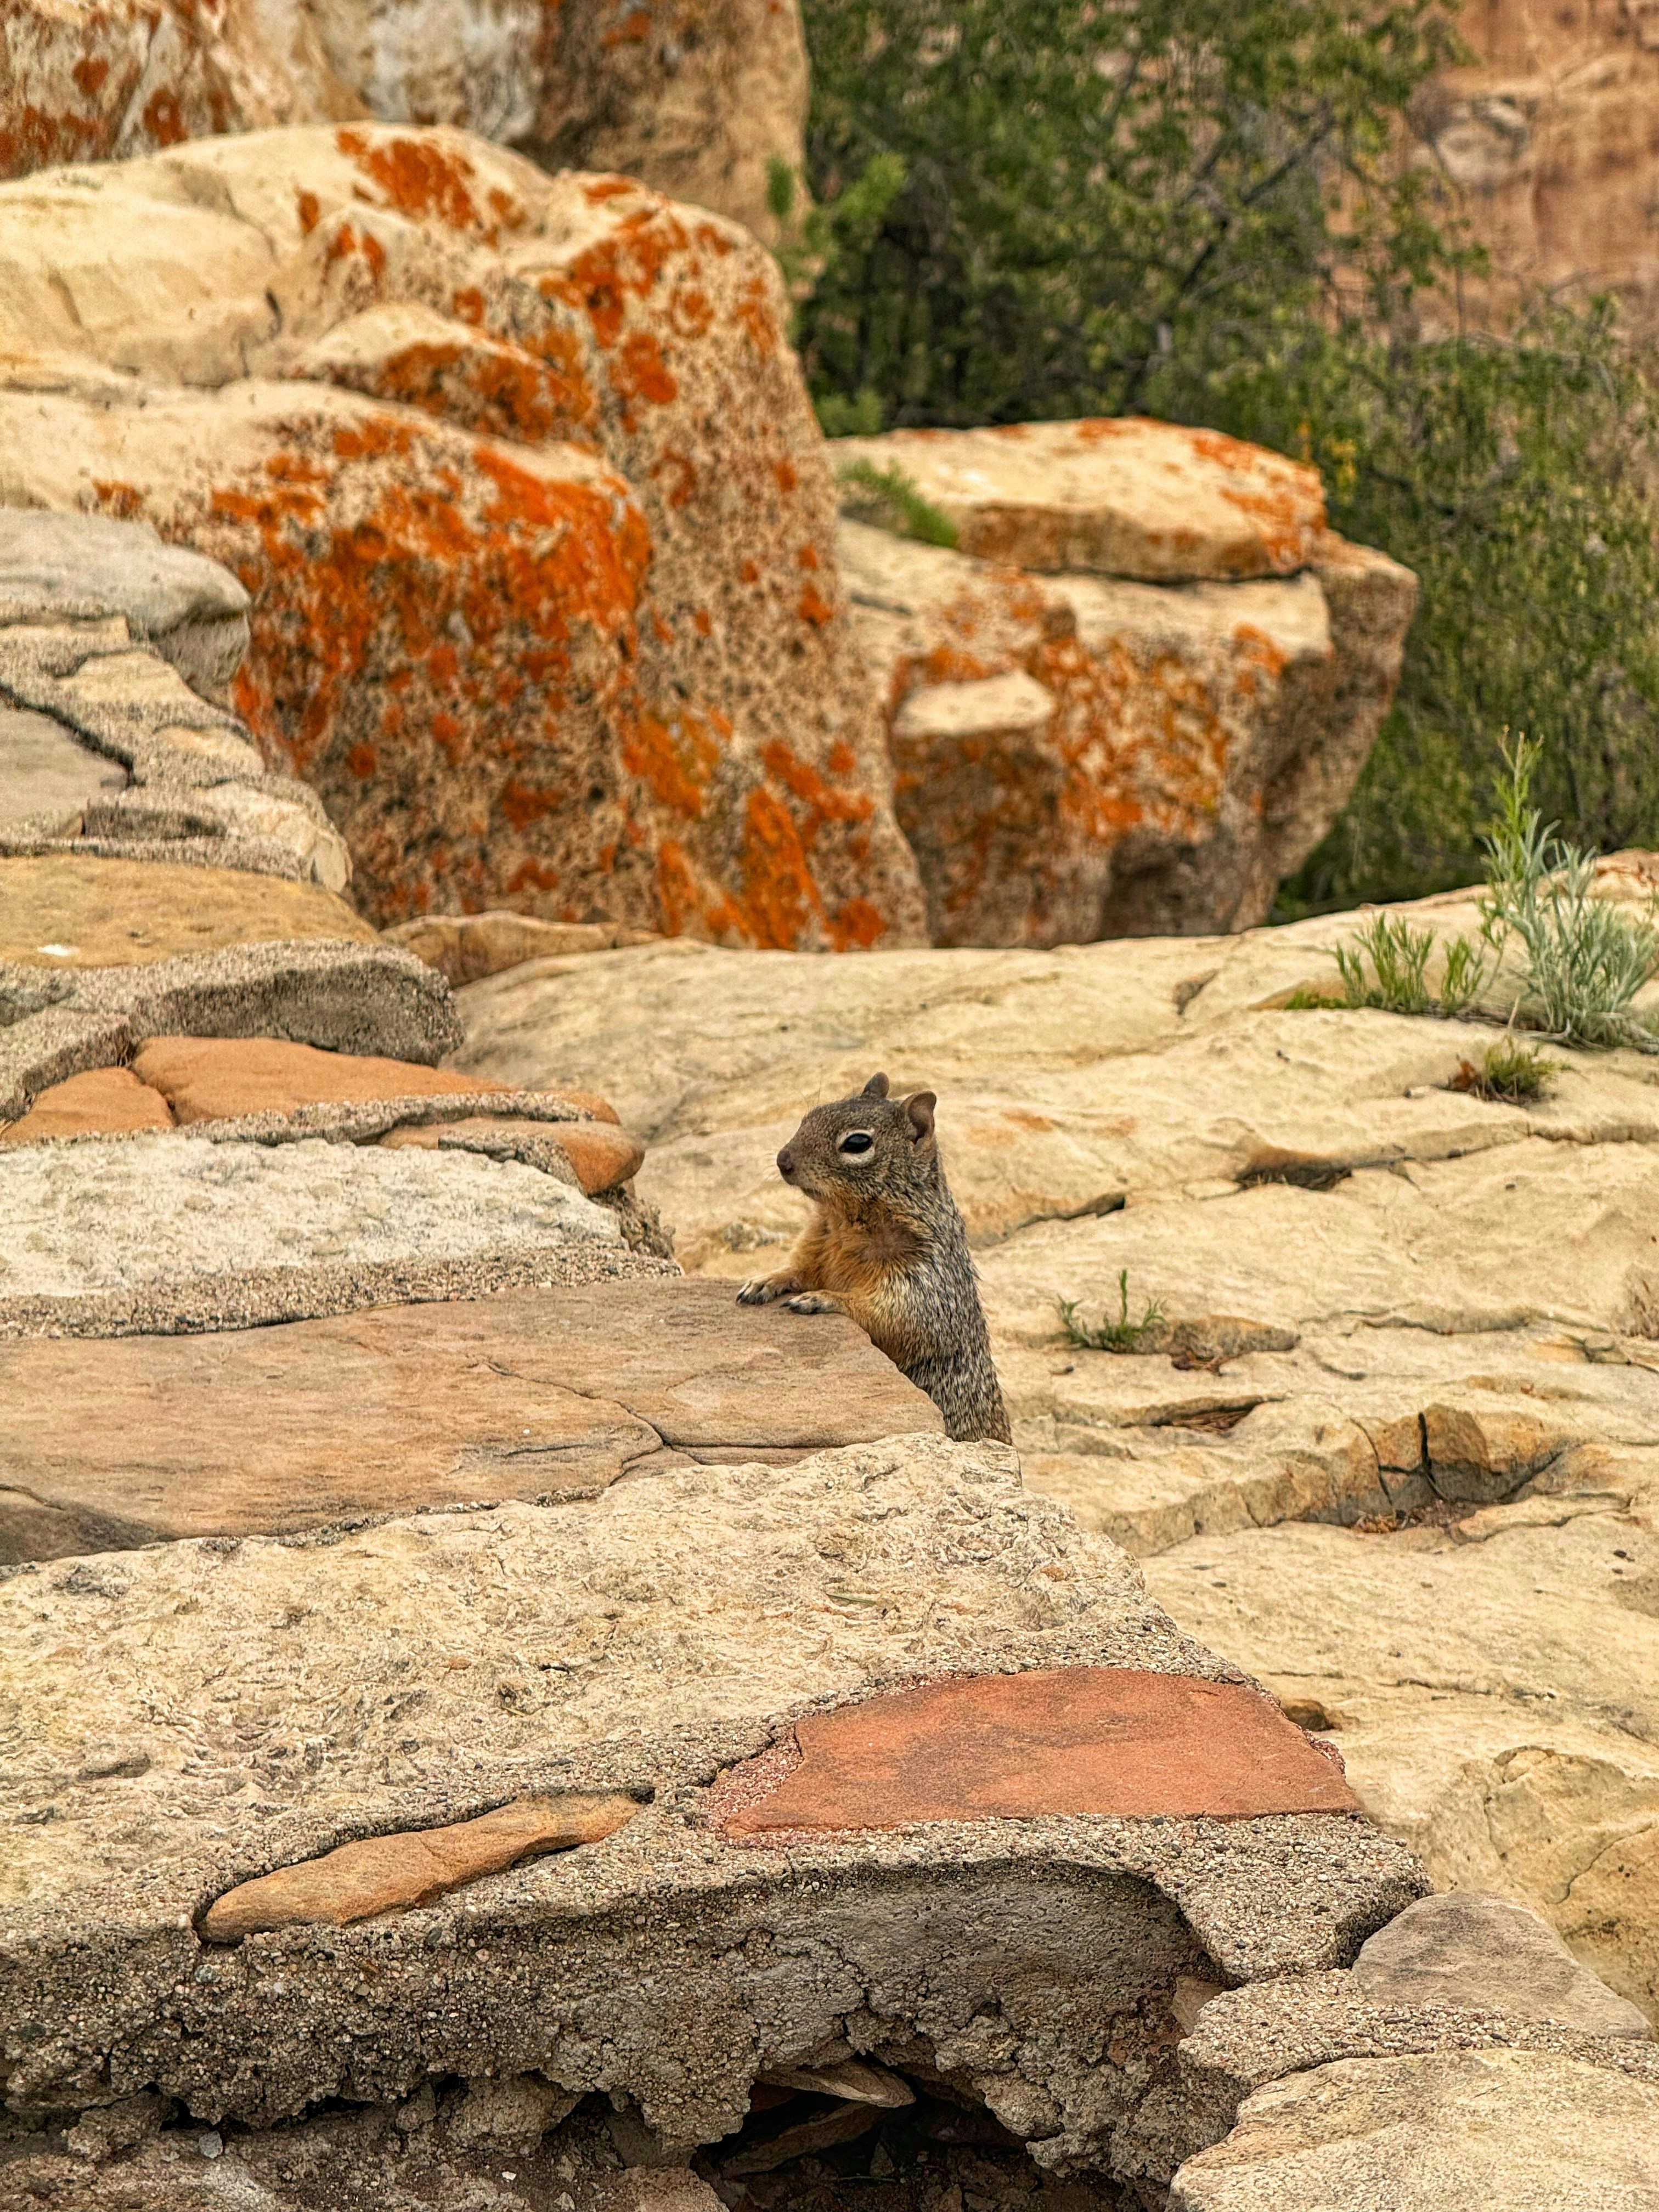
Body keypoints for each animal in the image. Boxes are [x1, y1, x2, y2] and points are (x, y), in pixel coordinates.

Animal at [735, 1073, 1012, 1445]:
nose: (783, 1160)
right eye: (810, 1116)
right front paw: (765, 1280)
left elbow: (893, 1317)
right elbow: (797, 1269)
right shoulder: (817, 1244)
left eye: (857, 1143)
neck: (846, 1221)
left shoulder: (924, 1277)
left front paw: (822, 1298)